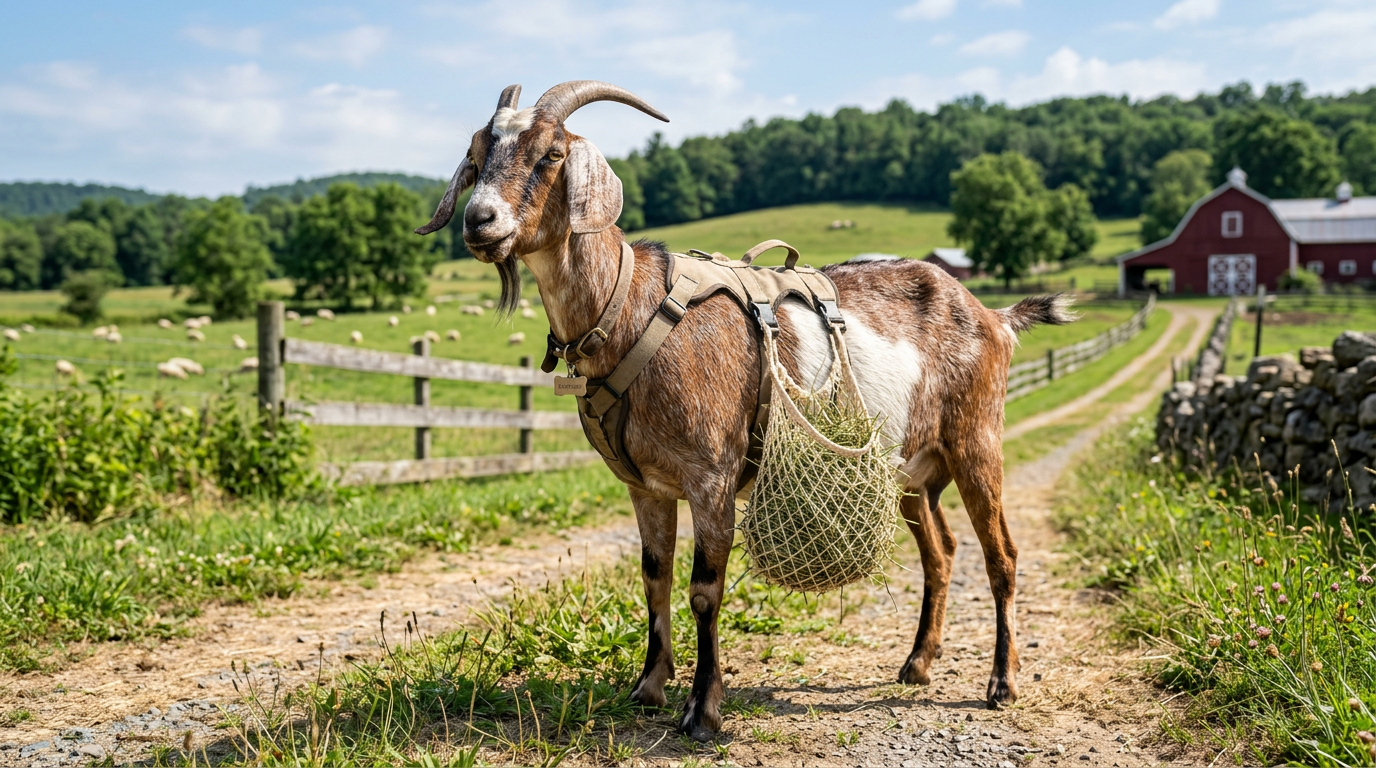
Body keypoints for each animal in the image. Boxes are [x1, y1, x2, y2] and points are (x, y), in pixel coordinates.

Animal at [415, 80, 1073, 741]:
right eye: (476, 153)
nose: (479, 220)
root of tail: (994, 317)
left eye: (552, 154)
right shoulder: (645, 485)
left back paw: (1002, 682)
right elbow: (654, 576)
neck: (631, 308)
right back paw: (917, 663)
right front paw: (648, 687)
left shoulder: (711, 475)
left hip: (977, 439)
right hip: (912, 470)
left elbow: (704, 590)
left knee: (1002, 555)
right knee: (942, 553)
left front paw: (702, 709)